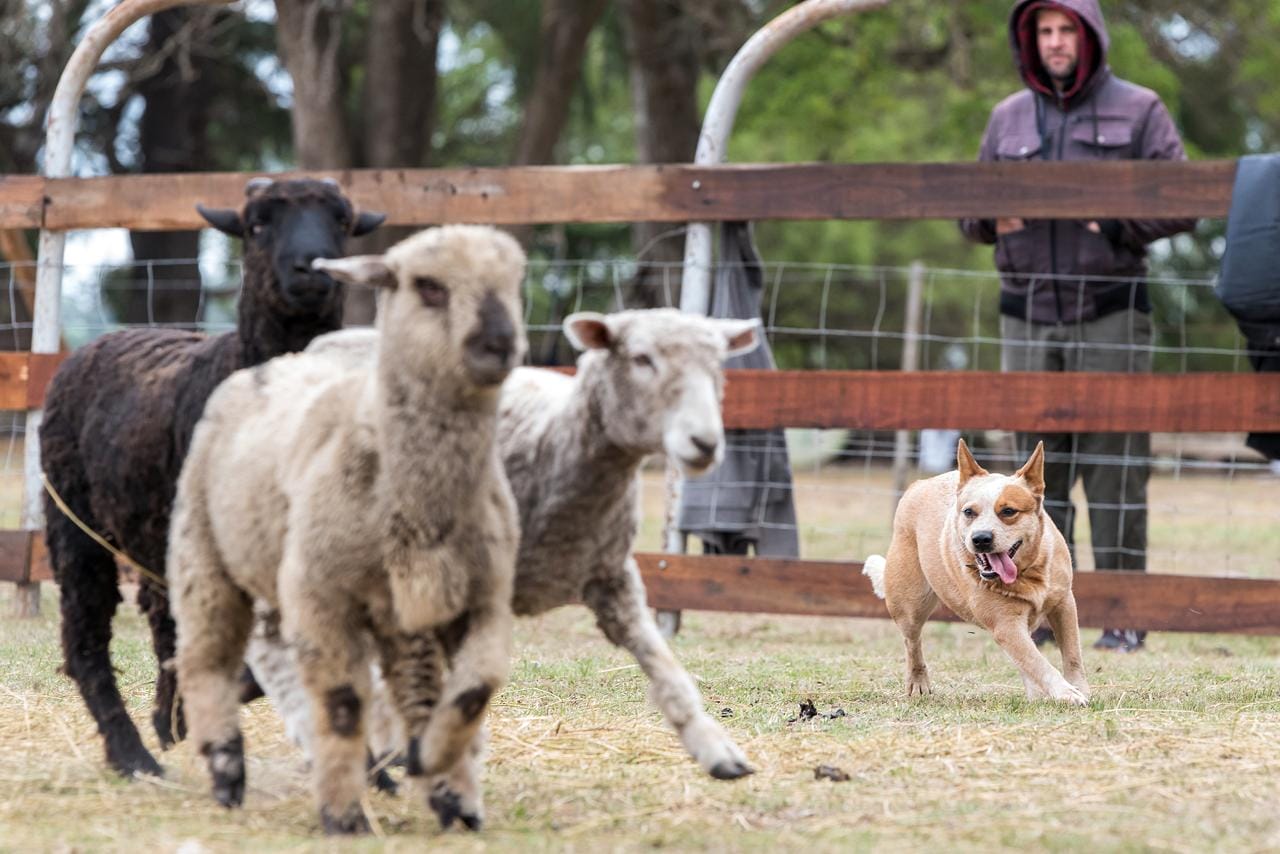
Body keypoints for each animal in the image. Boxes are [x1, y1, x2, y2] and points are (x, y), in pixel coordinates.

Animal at [38, 177, 384, 779]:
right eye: (257, 224)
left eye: (341, 221)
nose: (311, 268)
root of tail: (98, 341)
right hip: (74, 523)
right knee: (86, 635)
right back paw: (133, 754)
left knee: (163, 620)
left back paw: (169, 723)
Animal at [169, 224, 527, 835]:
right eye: (427, 286)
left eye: (515, 281)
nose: (500, 344)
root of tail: (276, 362)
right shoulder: (323, 594)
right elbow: (341, 705)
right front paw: (343, 816)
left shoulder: (482, 596)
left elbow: (474, 690)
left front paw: (440, 771)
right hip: (204, 550)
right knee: (207, 656)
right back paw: (225, 769)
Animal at [248, 307, 761, 814]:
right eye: (641, 358)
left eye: (719, 366)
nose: (705, 442)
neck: (554, 442)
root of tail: (316, 346)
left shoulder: (613, 578)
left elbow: (664, 666)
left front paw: (717, 750)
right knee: (273, 643)